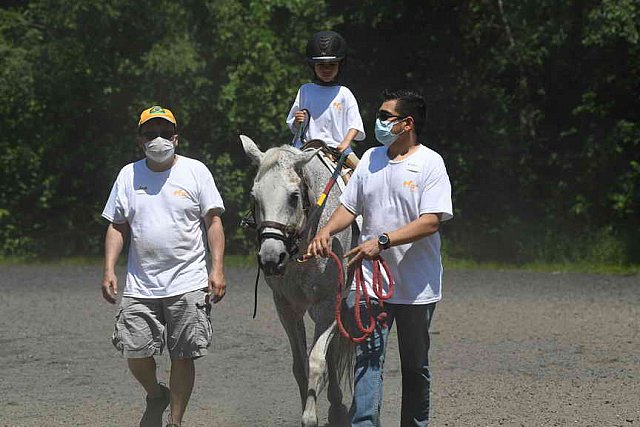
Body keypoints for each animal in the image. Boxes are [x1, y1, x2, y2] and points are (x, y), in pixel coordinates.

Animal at [241, 137, 356, 427]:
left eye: (294, 197)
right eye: (254, 197)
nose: (271, 258)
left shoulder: (328, 304)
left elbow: (316, 361)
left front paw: (310, 416)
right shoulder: (286, 306)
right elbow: (300, 363)